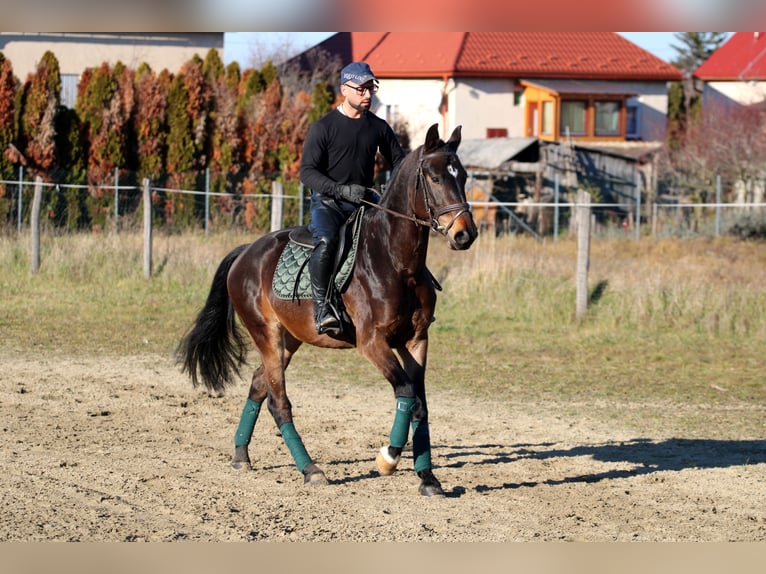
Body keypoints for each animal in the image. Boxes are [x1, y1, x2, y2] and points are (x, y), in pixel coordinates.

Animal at [181, 124, 480, 498]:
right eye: (435, 178)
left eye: (463, 176)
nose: (465, 234)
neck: (396, 261)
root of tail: (246, 253)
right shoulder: (372, 343)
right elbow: (406, 394)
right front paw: (388, 458)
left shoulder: (416, 340)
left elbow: (420, 406)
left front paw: (428, 478)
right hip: (266, 334)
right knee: (278, 402)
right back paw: (310, 470)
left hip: (289, 340)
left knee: (258, 386)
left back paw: (241, 455)